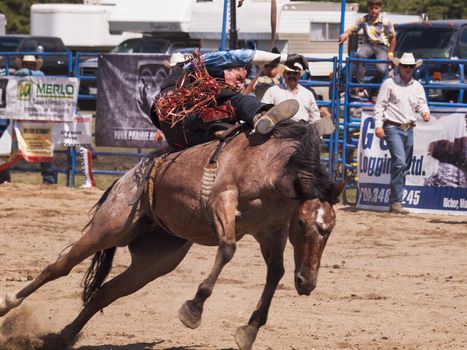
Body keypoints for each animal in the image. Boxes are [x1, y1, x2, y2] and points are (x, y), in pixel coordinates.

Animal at [0, 121, 344, 350]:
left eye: (329, 228)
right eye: (302, 223)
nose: (308, 283)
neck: (269, 166)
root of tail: (127, 176)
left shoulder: (270, 231)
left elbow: (276, 272)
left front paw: (249, 330)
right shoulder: (221, 201)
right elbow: (227, 249)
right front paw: (194, 308)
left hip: (154, 262)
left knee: (105, 292)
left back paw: (63, 337)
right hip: (107, 229)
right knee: (59, 267)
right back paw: (9, 303)